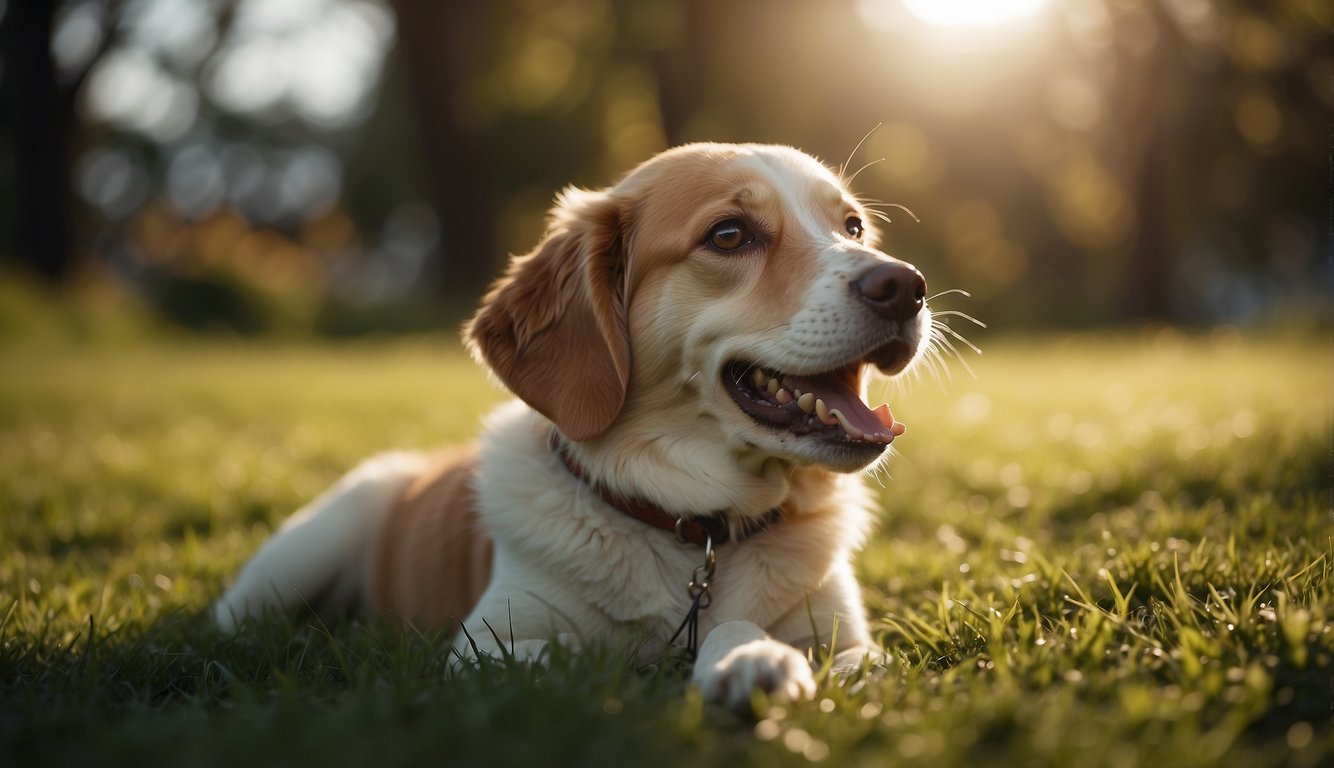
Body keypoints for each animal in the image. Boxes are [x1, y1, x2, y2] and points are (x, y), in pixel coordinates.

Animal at [213, 142, 933, 709]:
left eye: (853, 227)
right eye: (729, 235)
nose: (907, 285)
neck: (693, 530)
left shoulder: (858, 650)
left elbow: (774, 639)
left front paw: (748, 658)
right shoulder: (484, 648)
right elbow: (588, 656)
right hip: (297, 556)